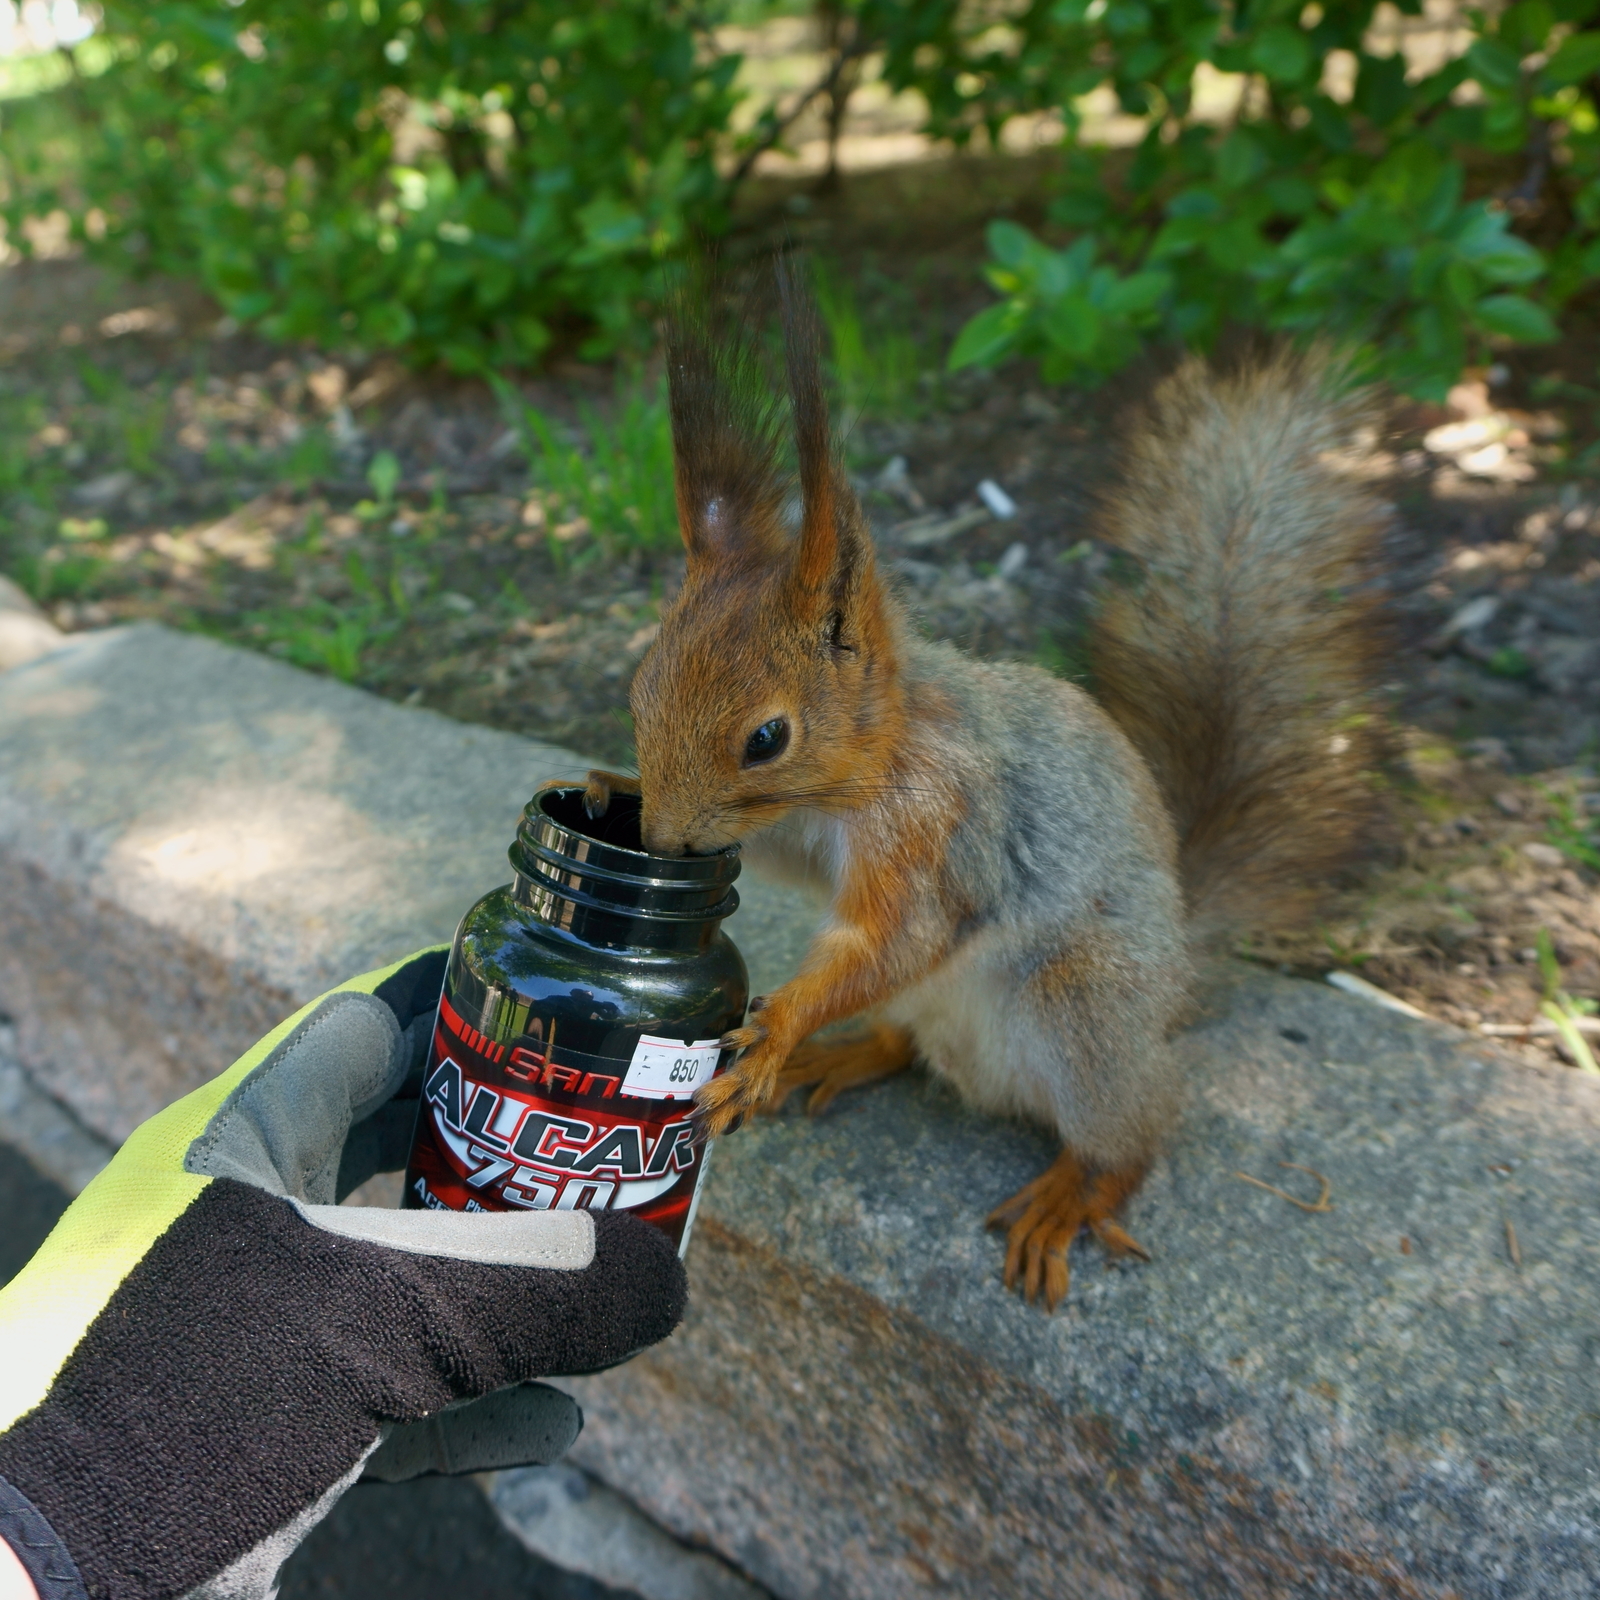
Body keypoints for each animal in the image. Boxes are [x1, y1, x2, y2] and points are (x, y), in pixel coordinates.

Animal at [582, 268, 1382, 1305]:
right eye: (640, 687)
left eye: (766, 738)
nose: (667, 848)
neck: (876, 765)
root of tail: (1179, 968)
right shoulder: (808, 831)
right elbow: (794, 869)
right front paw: (603, 779)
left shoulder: (944, 825)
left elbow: (902, 936)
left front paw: (780, 1028)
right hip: (954, 1014)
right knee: (908, 1041)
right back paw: (846, 1052)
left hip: (1087, 1008)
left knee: (1135, 1133)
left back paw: (1070, 1193)